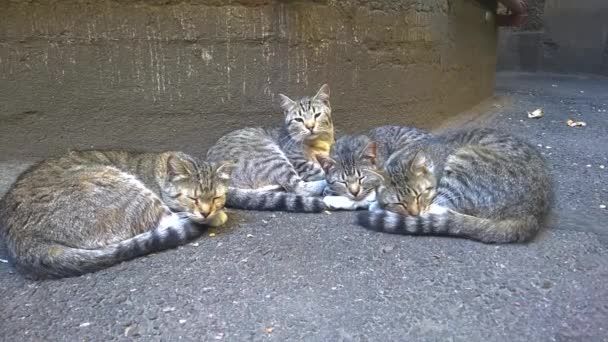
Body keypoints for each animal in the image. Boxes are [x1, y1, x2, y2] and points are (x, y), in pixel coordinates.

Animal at [358, 127, 552, 243]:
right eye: (399, 202)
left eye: (420, 195)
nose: (414, 213)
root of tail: (531, 214)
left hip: (463, 167)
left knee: (442, 211)